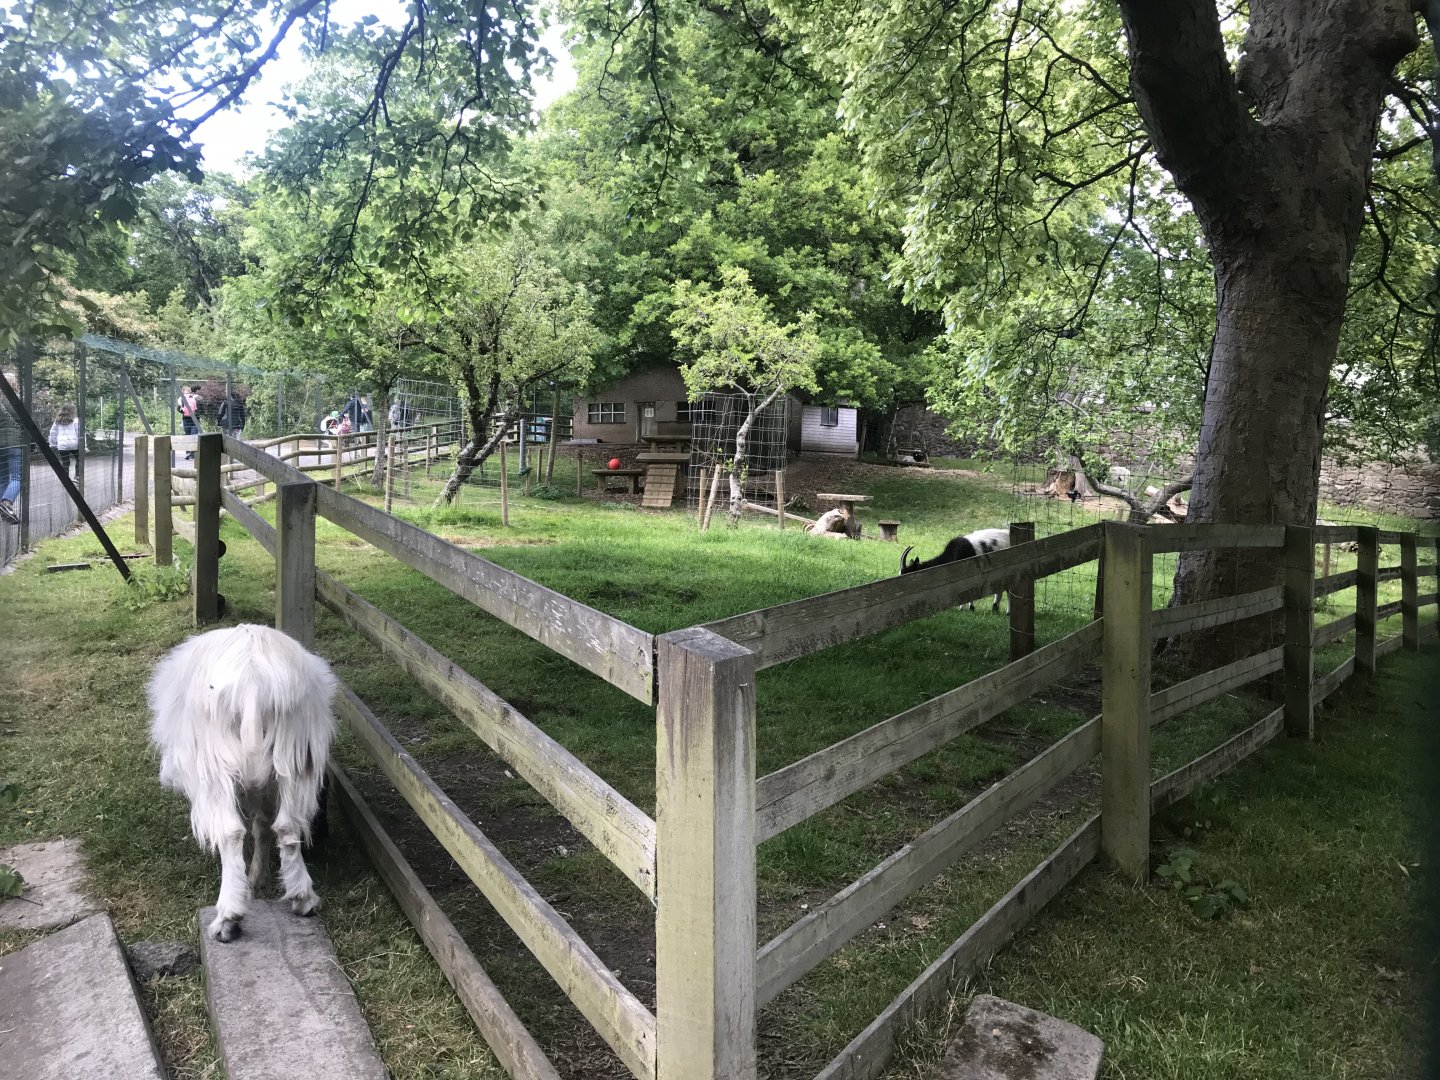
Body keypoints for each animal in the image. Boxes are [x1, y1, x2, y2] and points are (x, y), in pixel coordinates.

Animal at [149, 624, 337, 942]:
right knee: (287, 827)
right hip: (294, 757)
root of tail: (253, 681)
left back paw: (229, 917)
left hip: (213, 766)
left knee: (231, 833)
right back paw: (302, 898)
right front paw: (258, 879)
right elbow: (262, 826)